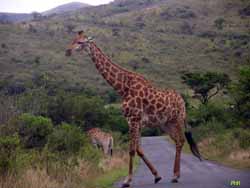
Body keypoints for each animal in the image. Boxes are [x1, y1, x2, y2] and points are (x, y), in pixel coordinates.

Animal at [65, 30, 202, 187]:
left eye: (81, 42)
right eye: (73, 39)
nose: (67, 51)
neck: (123, 88)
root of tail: (182, 100)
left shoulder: (134, 119)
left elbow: (131, 150)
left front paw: (127, 180)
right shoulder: (135, 121)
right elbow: (139, 149)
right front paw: (157, 176)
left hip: (178, 119)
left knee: (181, 140)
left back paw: (175, 175)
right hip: (166, 123)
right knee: (177, 141)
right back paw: (175, 175)